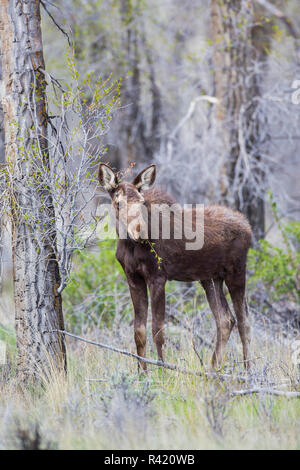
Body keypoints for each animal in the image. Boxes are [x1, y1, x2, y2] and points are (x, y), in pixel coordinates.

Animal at [99, 163, 253, 370]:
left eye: (141, 202)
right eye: (118, 203)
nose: (139, 230)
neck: (129, 245)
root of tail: (247, 225)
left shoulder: (158, 278)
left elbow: (158, 331)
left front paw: (162, 371)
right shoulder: (133, 278)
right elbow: (139, 332)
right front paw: (141, 373)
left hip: (236, 271)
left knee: (244, 322)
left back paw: (248, 371)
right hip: (211, 278)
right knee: (226, 320)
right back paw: (212, 370)